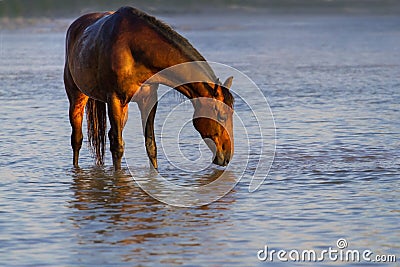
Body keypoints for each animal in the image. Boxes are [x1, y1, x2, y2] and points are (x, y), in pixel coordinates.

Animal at [63, 6, 234, 172]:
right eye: (222, 116)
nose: (227, 156)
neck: (133, 48)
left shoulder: (148, 100)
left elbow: (150, 145)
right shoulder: (114, 99)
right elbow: (117, 147)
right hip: (78, 98)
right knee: (77, 139)